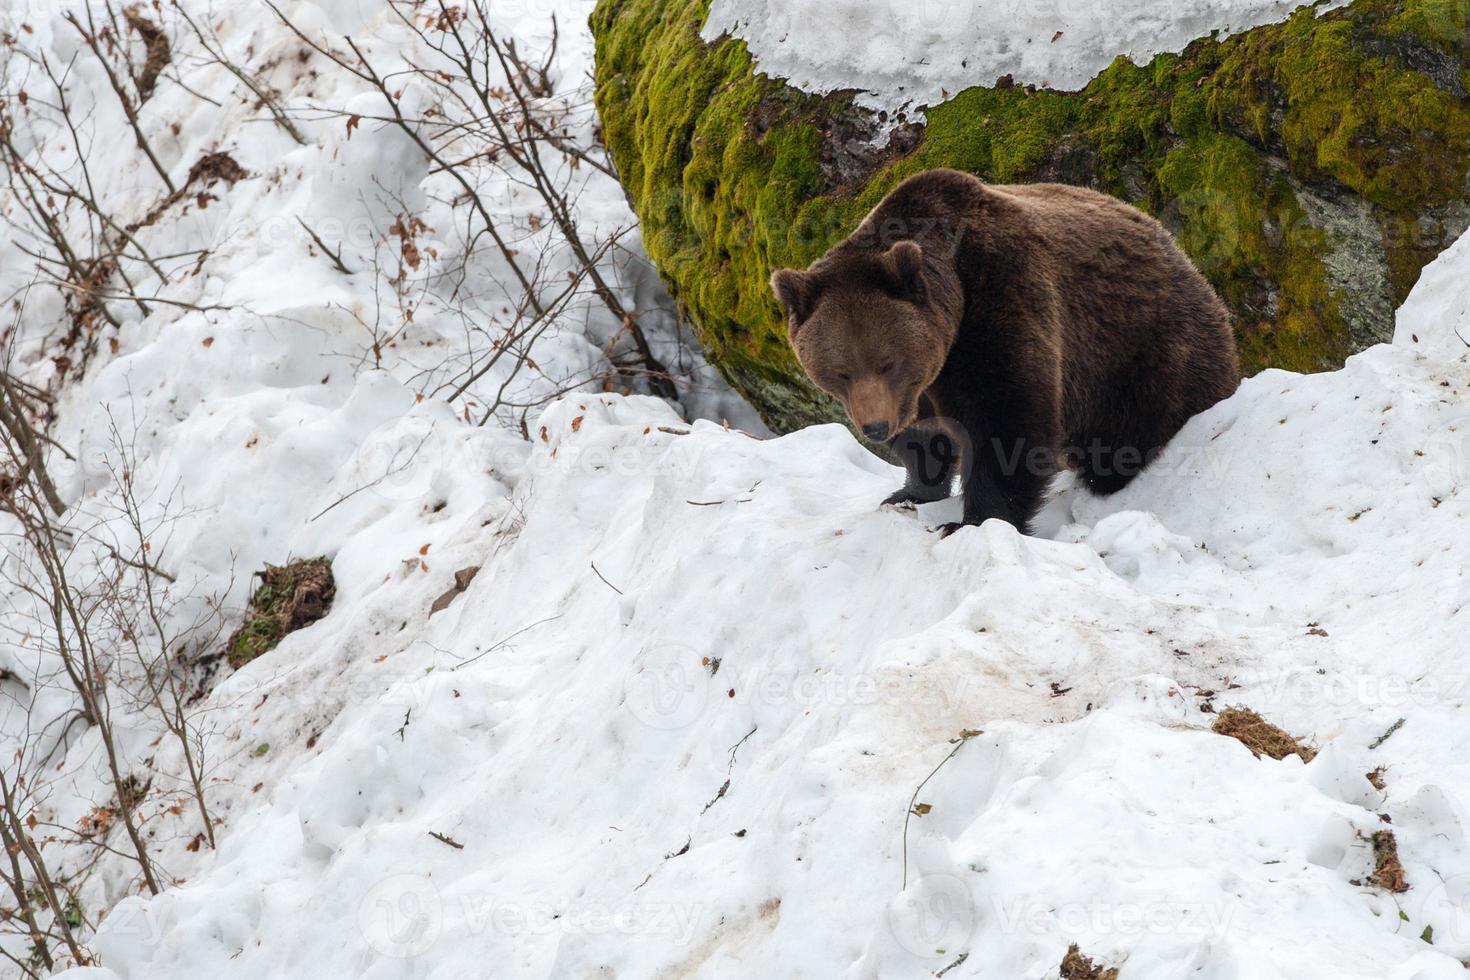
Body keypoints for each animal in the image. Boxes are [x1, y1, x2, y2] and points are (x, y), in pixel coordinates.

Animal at [770, 169, 1240, 537]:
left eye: (888, 363)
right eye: (839, 372)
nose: (876, 427)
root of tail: (1183, 255)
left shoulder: (1000, 301)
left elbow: (1007, 421)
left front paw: (970, 521)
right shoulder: (923, 385)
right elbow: (925, 438)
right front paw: (908, 493)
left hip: (1143, 350)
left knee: (1133, 434)